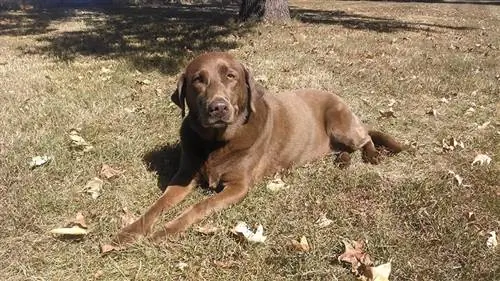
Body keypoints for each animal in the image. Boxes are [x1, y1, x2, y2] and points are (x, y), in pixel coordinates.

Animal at [113, 51, 402, 244]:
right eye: (198, 80)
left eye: (231, 76)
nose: (218, 107)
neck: (215, 142)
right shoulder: (183, 177)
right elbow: (156, 205)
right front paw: (130, 232)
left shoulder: (238, 186)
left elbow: (200, 206)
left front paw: (165, 231)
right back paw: (342, 160)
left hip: (341, 124)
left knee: (366, 137)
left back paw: (372, 156)